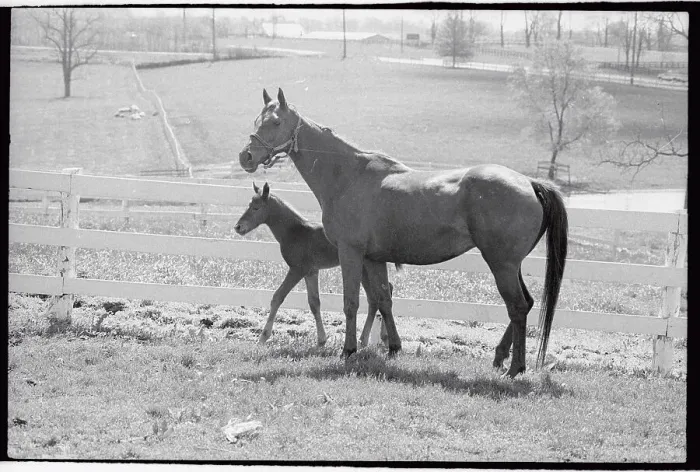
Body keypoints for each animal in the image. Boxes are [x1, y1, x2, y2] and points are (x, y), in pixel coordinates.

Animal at [234, 181, 394, 348]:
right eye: (249, 205)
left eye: (256, 208)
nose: (238, 227)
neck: (295, 231)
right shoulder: (311, 271)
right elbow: (314, 303)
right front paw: (321, 340)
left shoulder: (297, 269)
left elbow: (278, 297)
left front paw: (263, 337)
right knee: (380, 294)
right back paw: (375, 339)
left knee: (379, 294)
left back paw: (371, 339)